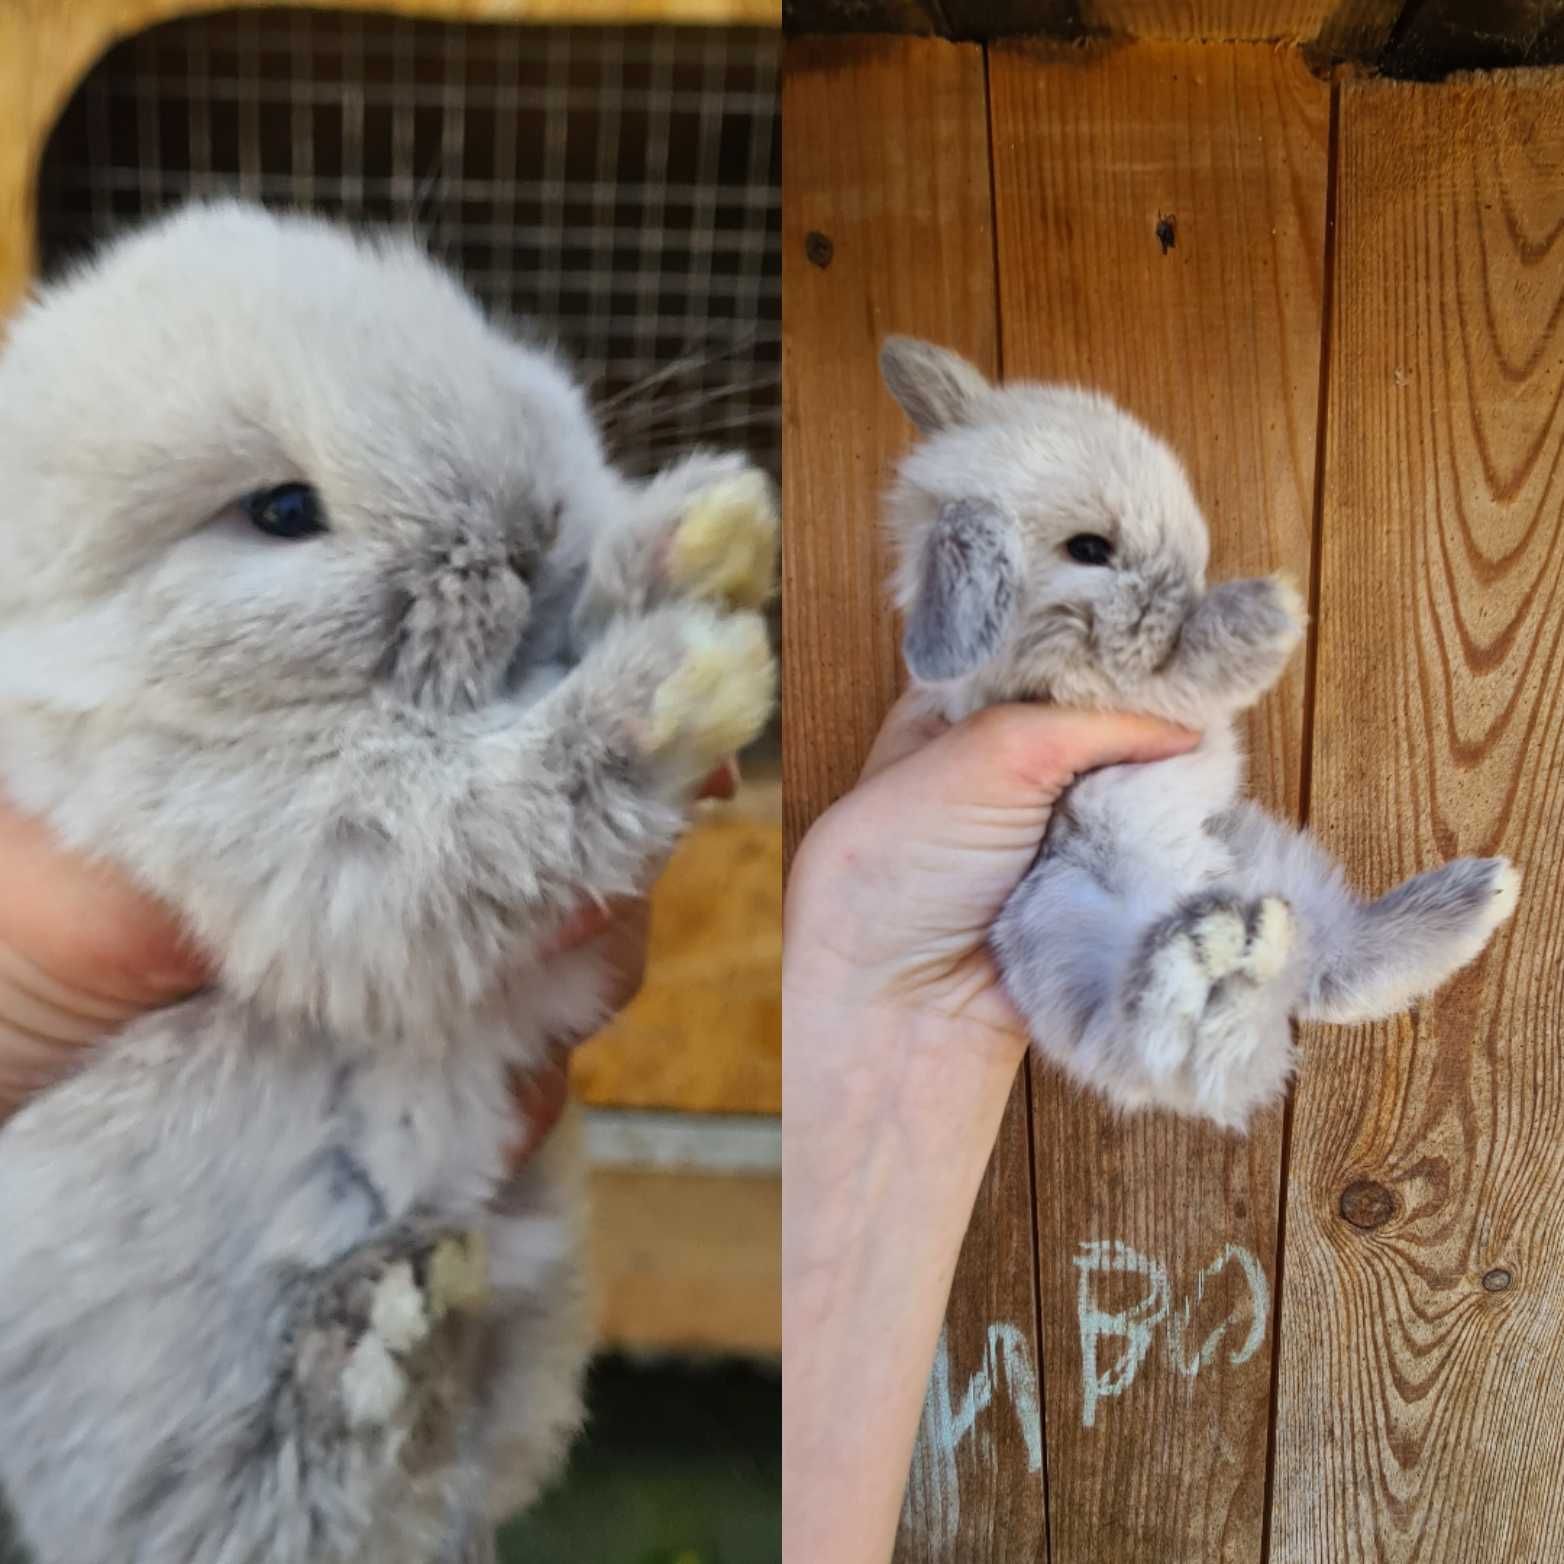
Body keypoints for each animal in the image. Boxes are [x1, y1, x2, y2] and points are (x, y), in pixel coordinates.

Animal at [0, 198, 778, 1564]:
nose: (530, 527)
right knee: (322, 1491)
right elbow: (492, 803)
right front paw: (692, 675)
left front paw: (711, 527)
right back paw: (393, 1329)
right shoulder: (330, 846)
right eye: (280, 509)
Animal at [888, 336, 1520, 1132]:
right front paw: (1267, 613)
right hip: (1059, 925)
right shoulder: (1122, 687)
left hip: (1268, 862)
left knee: (1330, 969)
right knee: (1175, 1046)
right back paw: (1204, 953)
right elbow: (1183, 667)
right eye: (1088, 548)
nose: (1192, 588)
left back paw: (1472, 893)